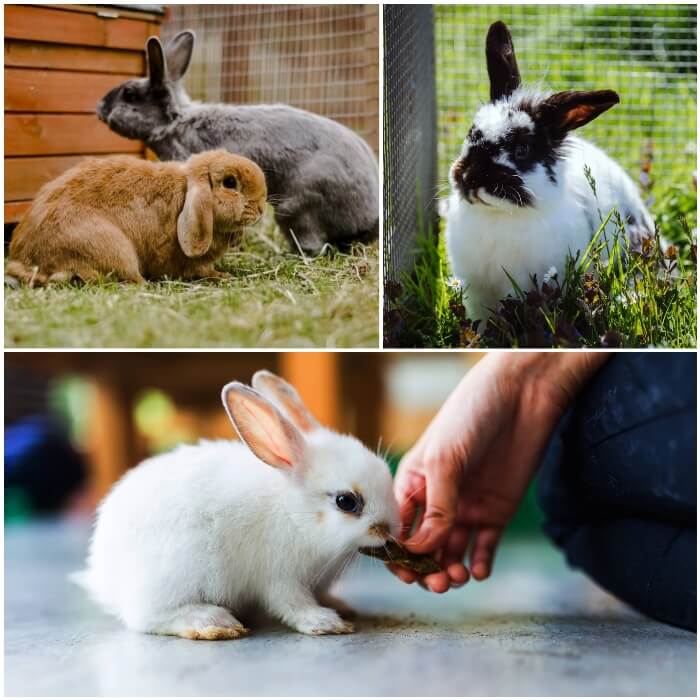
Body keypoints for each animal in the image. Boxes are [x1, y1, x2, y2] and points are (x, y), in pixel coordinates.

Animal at [4, 150, 268, 284]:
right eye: (230, 183)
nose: (262, 207)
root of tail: (28, 261)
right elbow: (203, 270)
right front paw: (223, 276)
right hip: (114, 249)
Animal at [74, 372, 400, 640]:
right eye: (347, 502)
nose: (389, 530)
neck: (295, 513)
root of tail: (103, 576)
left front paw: (339, 607)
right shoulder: (280, 577)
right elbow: (293, 604)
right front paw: (327, 622)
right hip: (176, 572)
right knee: (145, 617)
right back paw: (213, 622)